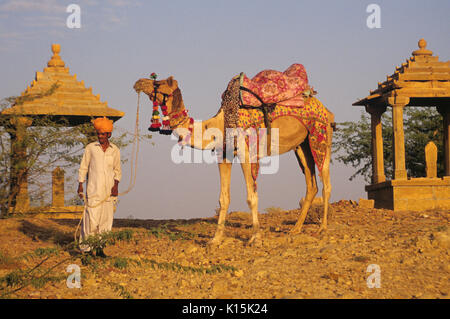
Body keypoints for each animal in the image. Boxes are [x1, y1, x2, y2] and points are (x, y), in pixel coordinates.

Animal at [132, 63, 332, 246]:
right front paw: (215, 239)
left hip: (320, 135)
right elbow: (223, 198)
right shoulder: (224, 155)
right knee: (311, 184)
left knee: (325, 183)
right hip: (301, 145)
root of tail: (324, 108)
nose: (138, 82)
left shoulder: (246, 153)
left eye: (158, 82)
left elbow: (251, 197)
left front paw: (255, 238)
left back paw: (322, 228)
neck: (218, 123)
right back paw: (295, 229)